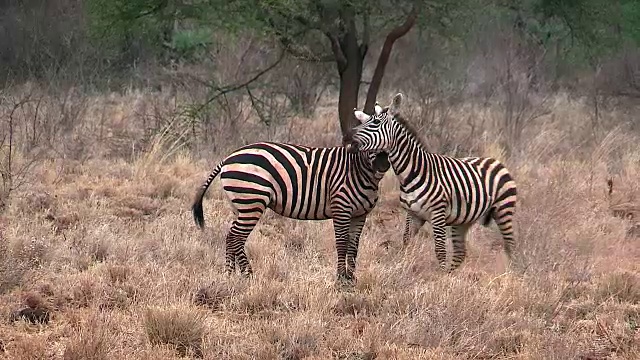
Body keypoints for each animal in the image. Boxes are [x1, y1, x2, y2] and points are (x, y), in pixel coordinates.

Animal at [190, 139, 390, 284]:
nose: (383, 165)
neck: (358, 170)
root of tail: (228, 157)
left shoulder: (360, 214)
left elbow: (354, 246)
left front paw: (352, 279)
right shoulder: (341, 208)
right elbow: (342, 242)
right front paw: (342, 281)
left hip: (239, 205)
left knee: (231, 236)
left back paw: (232, 274)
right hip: (252, 200)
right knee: (236, 236)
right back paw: (247, 275)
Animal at [348, 93, 516, 272]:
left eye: (376, 123)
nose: (349, 137)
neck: (412, 173)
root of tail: (495, 160)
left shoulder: (438, 214)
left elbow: (440, 250)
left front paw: (439, 276)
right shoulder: (413, 214)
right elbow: (406, 241)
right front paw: (402, 266)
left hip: (503, 211)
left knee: (510, 246)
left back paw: (510, 272)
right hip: (464, 220)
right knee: (460, 253)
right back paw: (451, 274)